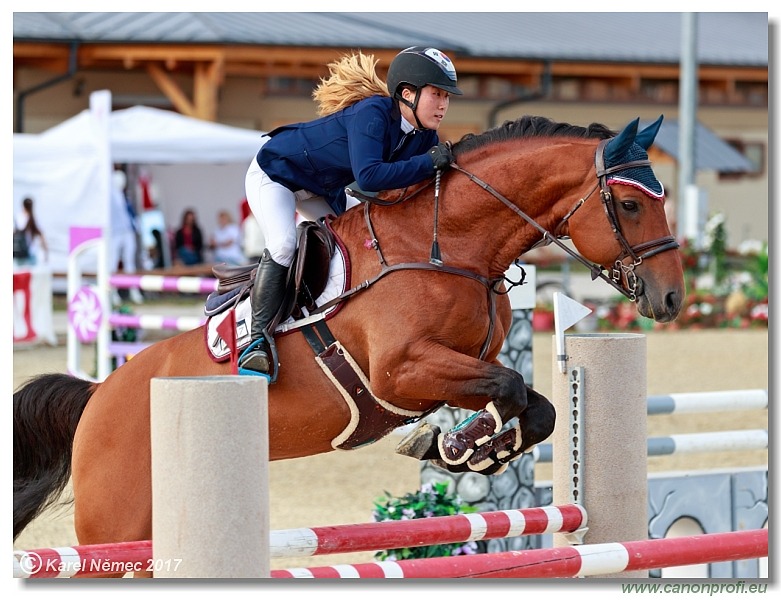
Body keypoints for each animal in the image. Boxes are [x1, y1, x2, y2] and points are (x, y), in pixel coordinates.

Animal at [12, 113, 684, 576]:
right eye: (629, 203)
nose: (672, 299)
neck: (450, 245)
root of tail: (98, 396)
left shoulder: (465, 362)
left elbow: (532, 405)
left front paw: (461, 448)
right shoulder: (400, 373)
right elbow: (511, 387)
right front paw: (458, 446)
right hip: (113, 527)